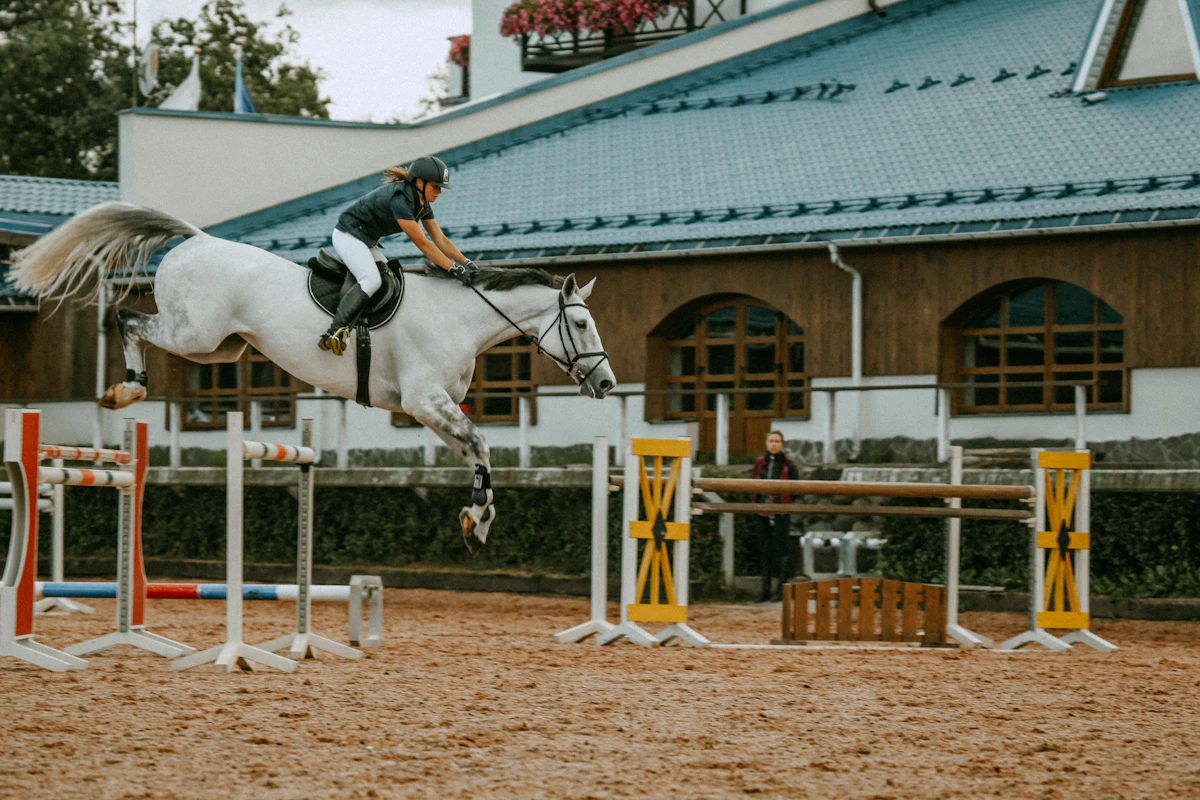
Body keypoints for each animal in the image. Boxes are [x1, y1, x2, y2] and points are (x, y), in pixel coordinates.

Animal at [8, 203, 616, 549]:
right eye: (581, 323)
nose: (607, 385)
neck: (459, 318)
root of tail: (197, 237)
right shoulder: (425, 401)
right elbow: (482, 445)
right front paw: (480, 517)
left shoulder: (431, 410)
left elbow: (477, 452)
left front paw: (476, 521)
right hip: (193, 334)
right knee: (127, 318)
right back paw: (125, 388)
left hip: (219, 350)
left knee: (147, 328)